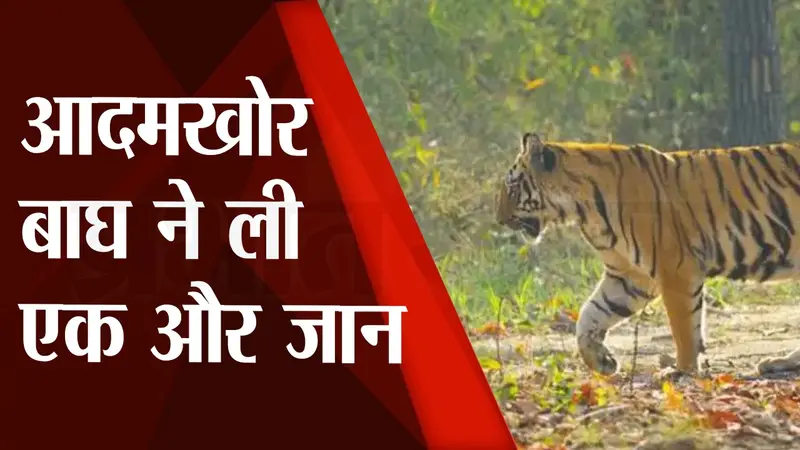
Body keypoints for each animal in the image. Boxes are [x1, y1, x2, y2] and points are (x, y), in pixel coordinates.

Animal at [495, 132, 800, 380]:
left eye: (512, 187)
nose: (498, 220)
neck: (583, 210)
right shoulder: (629, 276)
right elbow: (590, 316)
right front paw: (601, 362)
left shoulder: (676, 269)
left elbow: (684, 328)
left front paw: (682, 371)